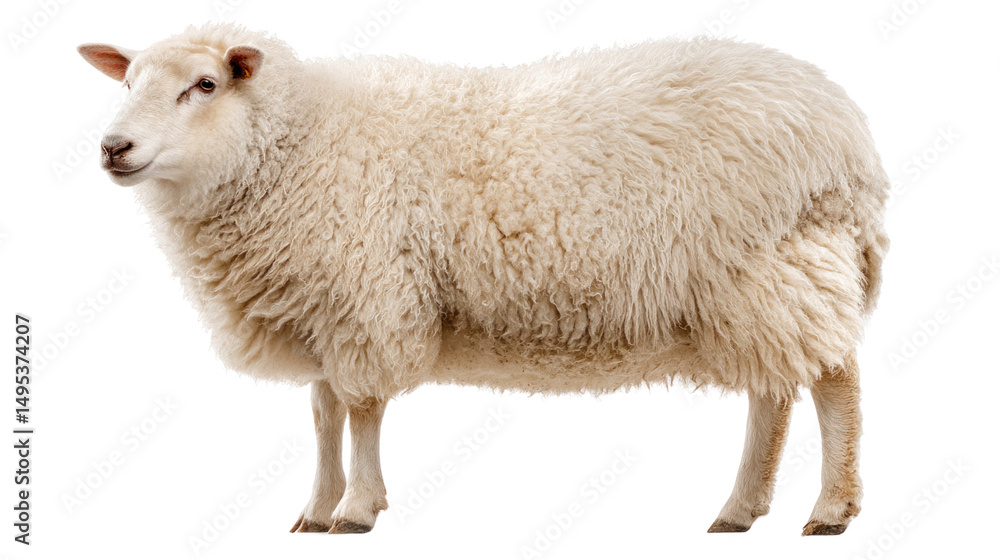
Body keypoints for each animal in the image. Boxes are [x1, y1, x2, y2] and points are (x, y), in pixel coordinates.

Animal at [78, 22, 889, 536]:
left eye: (204, 84)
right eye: (129, 80)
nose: (113, 148)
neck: (301, 143)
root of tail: (849, 133)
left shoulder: (367, 297)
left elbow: (362, 411)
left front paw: (357, 510)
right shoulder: (323, 308)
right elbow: (324, 414)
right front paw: (315, 507)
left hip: (778, 262)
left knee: (836, 383)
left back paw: (830, 510)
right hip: (756, 285)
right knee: (774, 392)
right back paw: (740, 510)